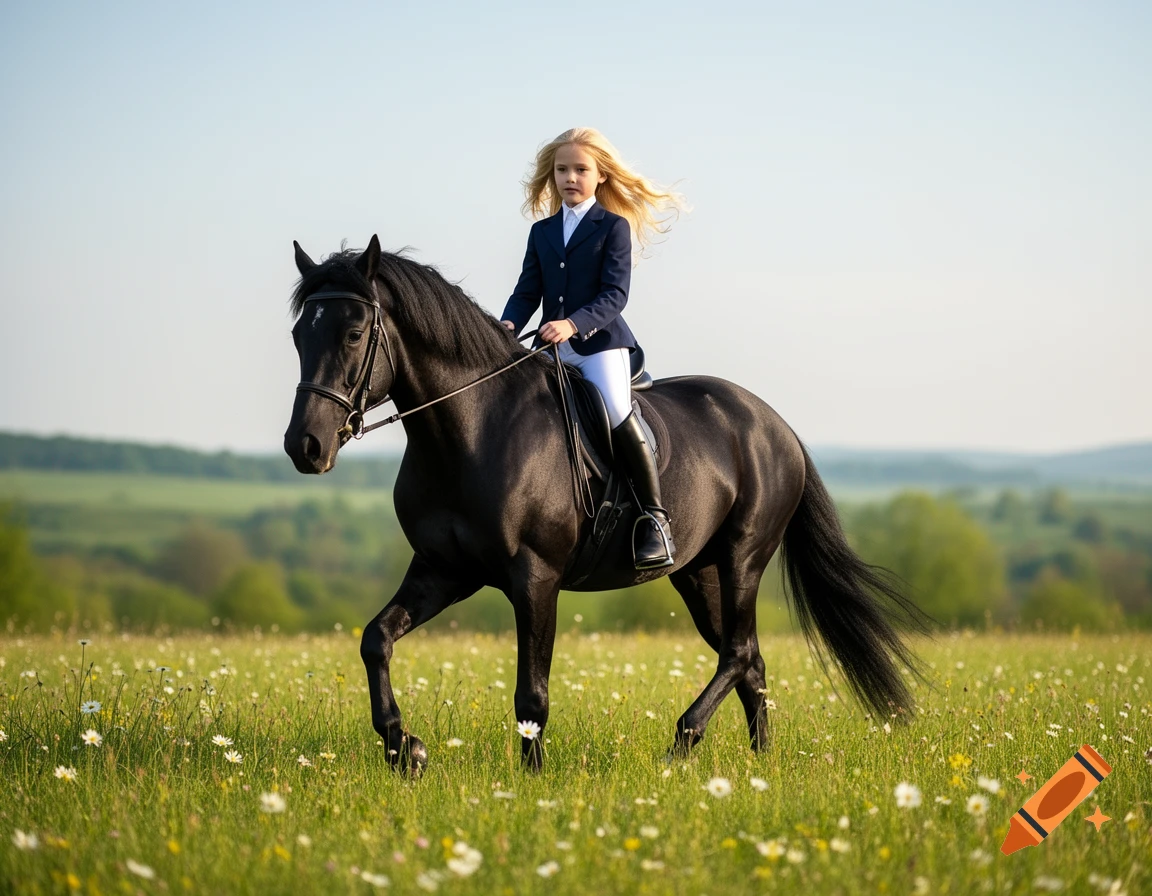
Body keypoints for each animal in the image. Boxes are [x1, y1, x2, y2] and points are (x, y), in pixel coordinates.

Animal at [283, 235, 937, 774]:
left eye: (352, 334)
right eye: (298, 335)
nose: (304, 447)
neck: (470, 430)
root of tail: (773, 423)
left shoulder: (535, 577)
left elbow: (532, 693)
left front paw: (531, 781)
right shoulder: (444, 569)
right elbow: (376, 639)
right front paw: (405, 750)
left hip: (744, 556)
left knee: (738, 651)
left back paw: (681, 744)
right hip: (697, 572)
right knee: (749, 660)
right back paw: (761, 763)